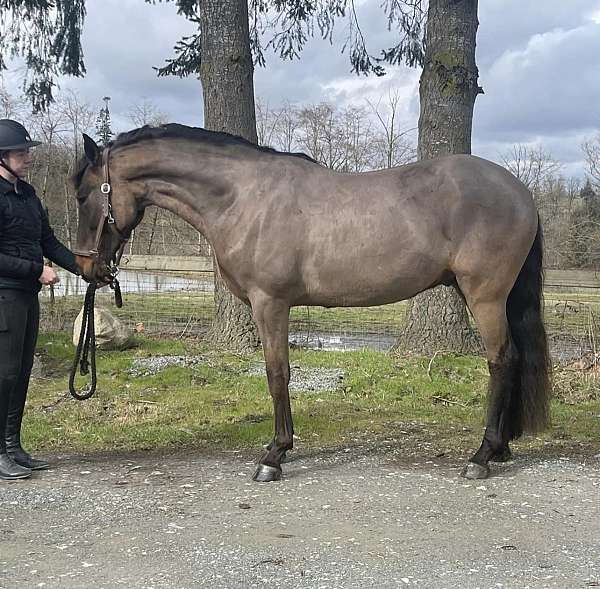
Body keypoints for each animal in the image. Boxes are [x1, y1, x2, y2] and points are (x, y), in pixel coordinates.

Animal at [70, 124, 548, 482]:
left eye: (83, 195)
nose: (87, 267)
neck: (243, 197)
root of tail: (521, 192)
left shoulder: (270, 302)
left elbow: (277, 373)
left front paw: (274, 455)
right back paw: (501, 448)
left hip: (485, 296)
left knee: (502, 360)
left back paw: (482, 455)